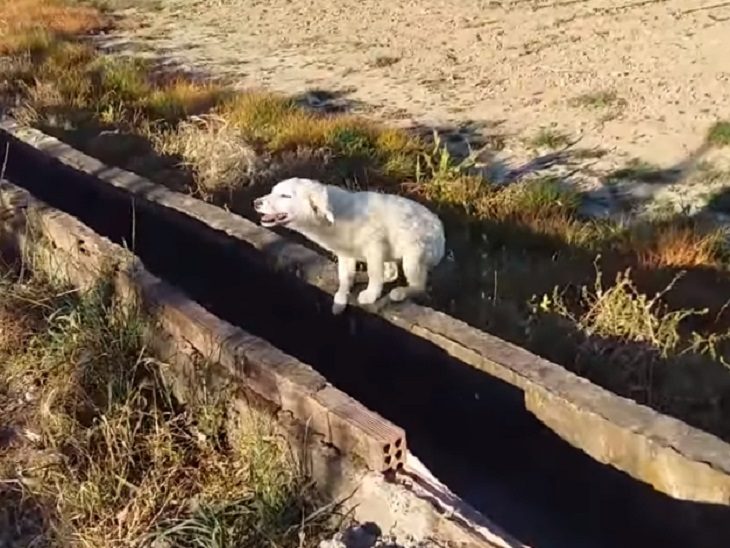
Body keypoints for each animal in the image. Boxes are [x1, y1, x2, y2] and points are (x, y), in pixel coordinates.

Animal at [250, 177, 444, 312]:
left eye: (285, 195)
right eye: (272, 191)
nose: (256, 202)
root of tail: (442, 233)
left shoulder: (375, 245)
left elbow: (375, 274)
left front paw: (370, 295)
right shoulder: (345, 253)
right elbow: (346, 276)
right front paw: (340, 299)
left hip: (414, 254)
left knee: (419, 286)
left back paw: (400, 292)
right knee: (391, 273)